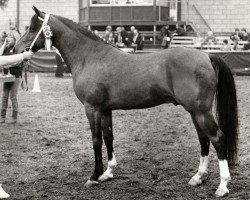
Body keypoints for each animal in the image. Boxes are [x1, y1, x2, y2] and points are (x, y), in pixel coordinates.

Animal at [15, 6, 238, 197]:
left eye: (32, 28)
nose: (16, 48)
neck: (90, 57)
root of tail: (206, 55)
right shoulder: (105, 110)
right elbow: (108, 137)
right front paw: (108, 172)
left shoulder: (92, 108)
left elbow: (96, 140)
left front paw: (94, 176)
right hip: (195, 112)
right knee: (204, 139)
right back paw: (198, 177)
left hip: (201, 112)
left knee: (217, 138)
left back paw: (222, 186)